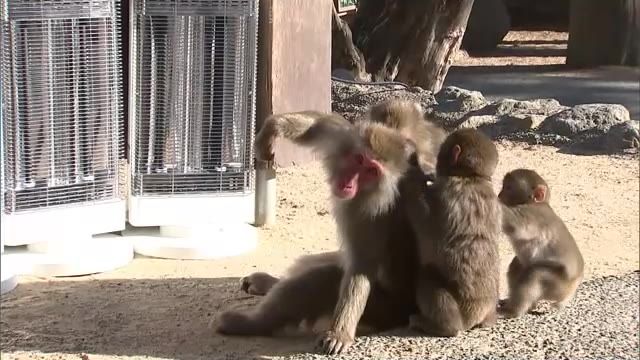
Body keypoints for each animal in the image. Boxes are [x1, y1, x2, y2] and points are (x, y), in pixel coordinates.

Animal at [215, 98, 444, 354]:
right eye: (359, 160)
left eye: (372, 171)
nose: (348, 183)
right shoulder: (346, 138)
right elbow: (322, 125)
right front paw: (271, 130)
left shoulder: (374, 213)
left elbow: (361, 267)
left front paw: (339, 333)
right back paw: (266, 285)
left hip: (383, 308)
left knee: (322, 280)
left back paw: (250, 323)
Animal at [500, 169, 584, 318]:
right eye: (503, 186)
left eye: (508, 188)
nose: (499, 194)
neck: (537, 203)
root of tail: (575, 284)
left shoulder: (534, 215)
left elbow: (514, 225)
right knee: (517, 266)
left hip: (559, 285)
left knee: (535, 274)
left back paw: (514, 311)